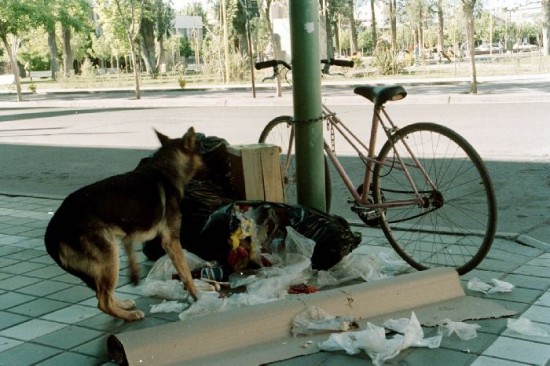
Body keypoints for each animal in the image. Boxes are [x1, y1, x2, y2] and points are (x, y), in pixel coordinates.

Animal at [44, 127, 201, 322]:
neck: (164, 168)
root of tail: (52, 231)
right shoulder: (171, 241)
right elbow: (185, 273)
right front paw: (197, 295)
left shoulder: (128, 235)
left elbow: (132, 254)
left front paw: (134, 275)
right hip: (109, 257)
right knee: (102, 301)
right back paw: (129, 315)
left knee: (104, 293)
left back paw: (122, 305)